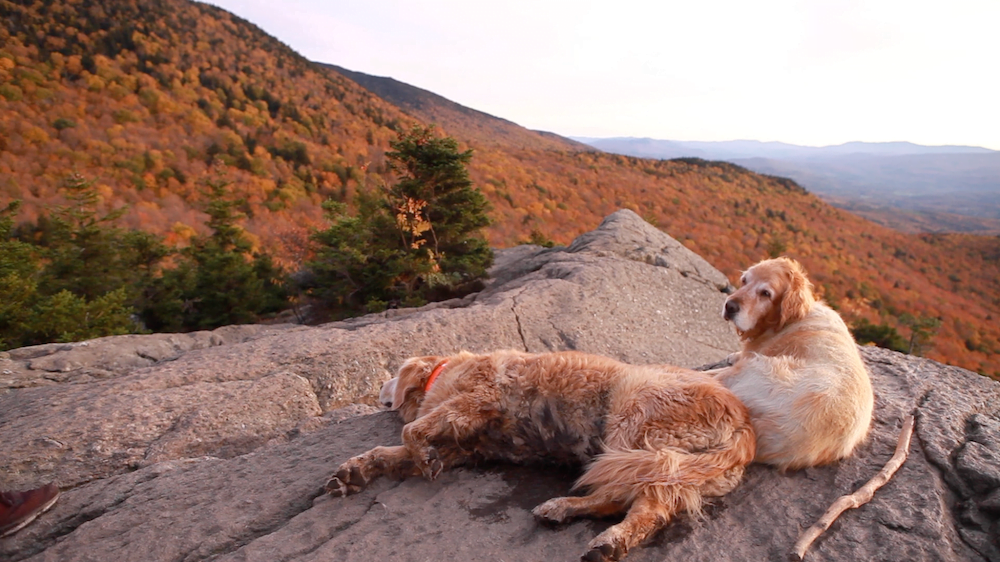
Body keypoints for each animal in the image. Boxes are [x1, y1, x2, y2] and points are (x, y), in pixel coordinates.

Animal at [324, 348, 752, 556]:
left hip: (634, 424)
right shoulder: (461, 447)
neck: (442, 374)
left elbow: (411, 432)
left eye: (393, 374)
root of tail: (744, 427)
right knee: (628, 500)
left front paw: (416, 454)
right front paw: (355, 470)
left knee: (641, 506)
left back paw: (604, 538)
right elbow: (391, 449)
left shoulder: (477, 399)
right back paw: (566, 512)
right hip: (661, 462)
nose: (380, 390)